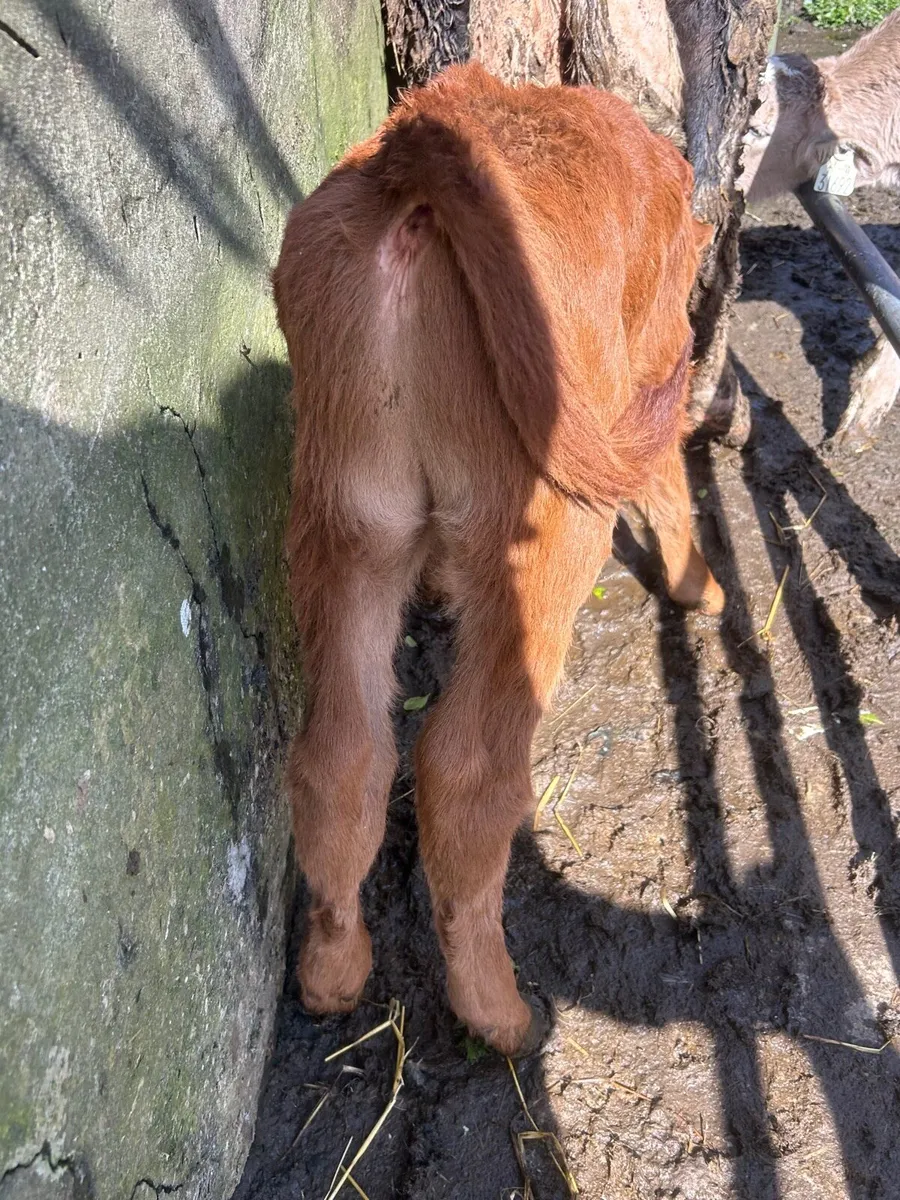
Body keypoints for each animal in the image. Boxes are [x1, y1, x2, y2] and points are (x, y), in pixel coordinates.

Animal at [273, 62, 723, 1056]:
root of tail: (429, 136)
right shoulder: (652, 365)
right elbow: (671, 481)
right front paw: (700, 590)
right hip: (546, 533)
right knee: (465, 768)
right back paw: (501, 1012)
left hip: (344, 515)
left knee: (342, 755)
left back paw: (331, 975)